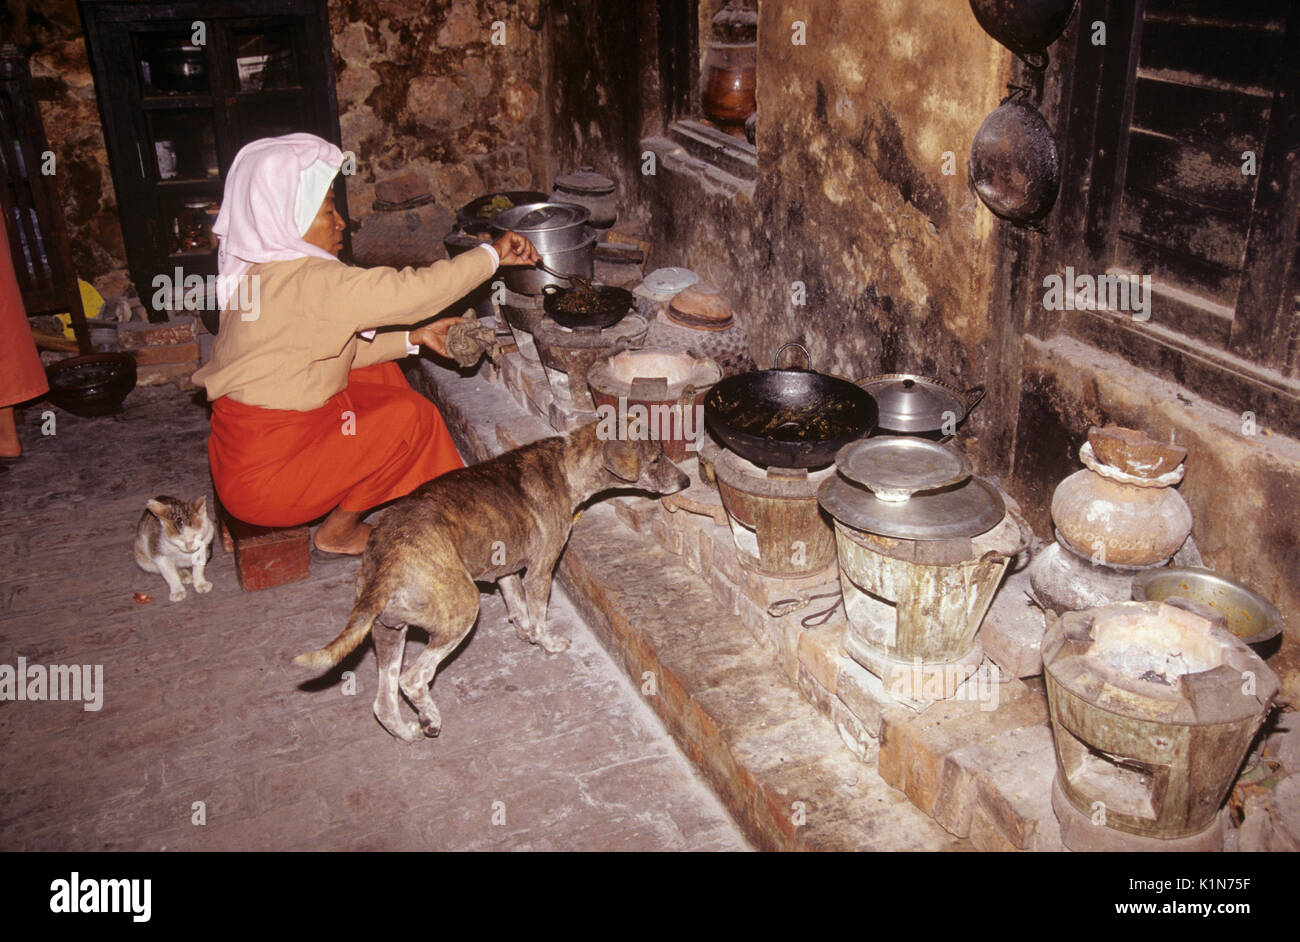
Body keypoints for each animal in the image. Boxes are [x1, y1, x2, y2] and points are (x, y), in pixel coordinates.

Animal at [295, 423, 691, 738]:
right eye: (656, 458)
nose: (687, 481)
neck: (568, 461)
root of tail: (387, 558)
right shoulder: (540, 570)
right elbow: (539, 615)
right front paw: (548, 643)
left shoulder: (506, 573)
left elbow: (520, 612)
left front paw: (528, 636)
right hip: (462, 611)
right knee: (414, 678)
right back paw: (431, 719)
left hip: (388, 633)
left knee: (384, 702)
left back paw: (408, 732)